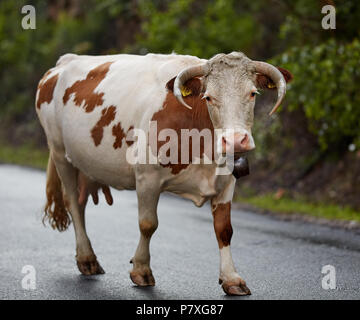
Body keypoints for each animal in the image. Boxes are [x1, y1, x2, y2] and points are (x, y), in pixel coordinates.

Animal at [35, 52, 292, 296]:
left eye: (253, 93)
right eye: (208, 97)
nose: (236, 140)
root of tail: (64, 62)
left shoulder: (227, 181)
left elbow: (224, 229)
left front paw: (232, 279)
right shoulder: (147, 177)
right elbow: (148, 224)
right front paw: (141, 270)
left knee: (81, 202)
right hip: (60, 153)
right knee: (73, 204)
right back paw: (86, 258)